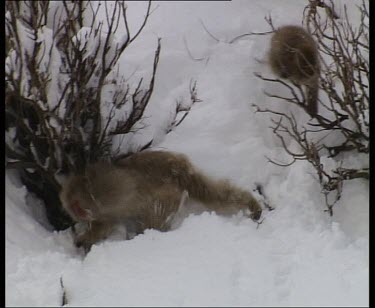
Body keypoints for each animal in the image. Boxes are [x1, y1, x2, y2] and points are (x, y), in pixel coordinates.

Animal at [59, 150, 264, 251]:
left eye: (77, 209)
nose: (79, 217)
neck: (90, 189)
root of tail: (181, 171)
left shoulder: (109, 201)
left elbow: (106, 225)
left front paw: (86, 237)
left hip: (166, 197)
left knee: (152, 217)